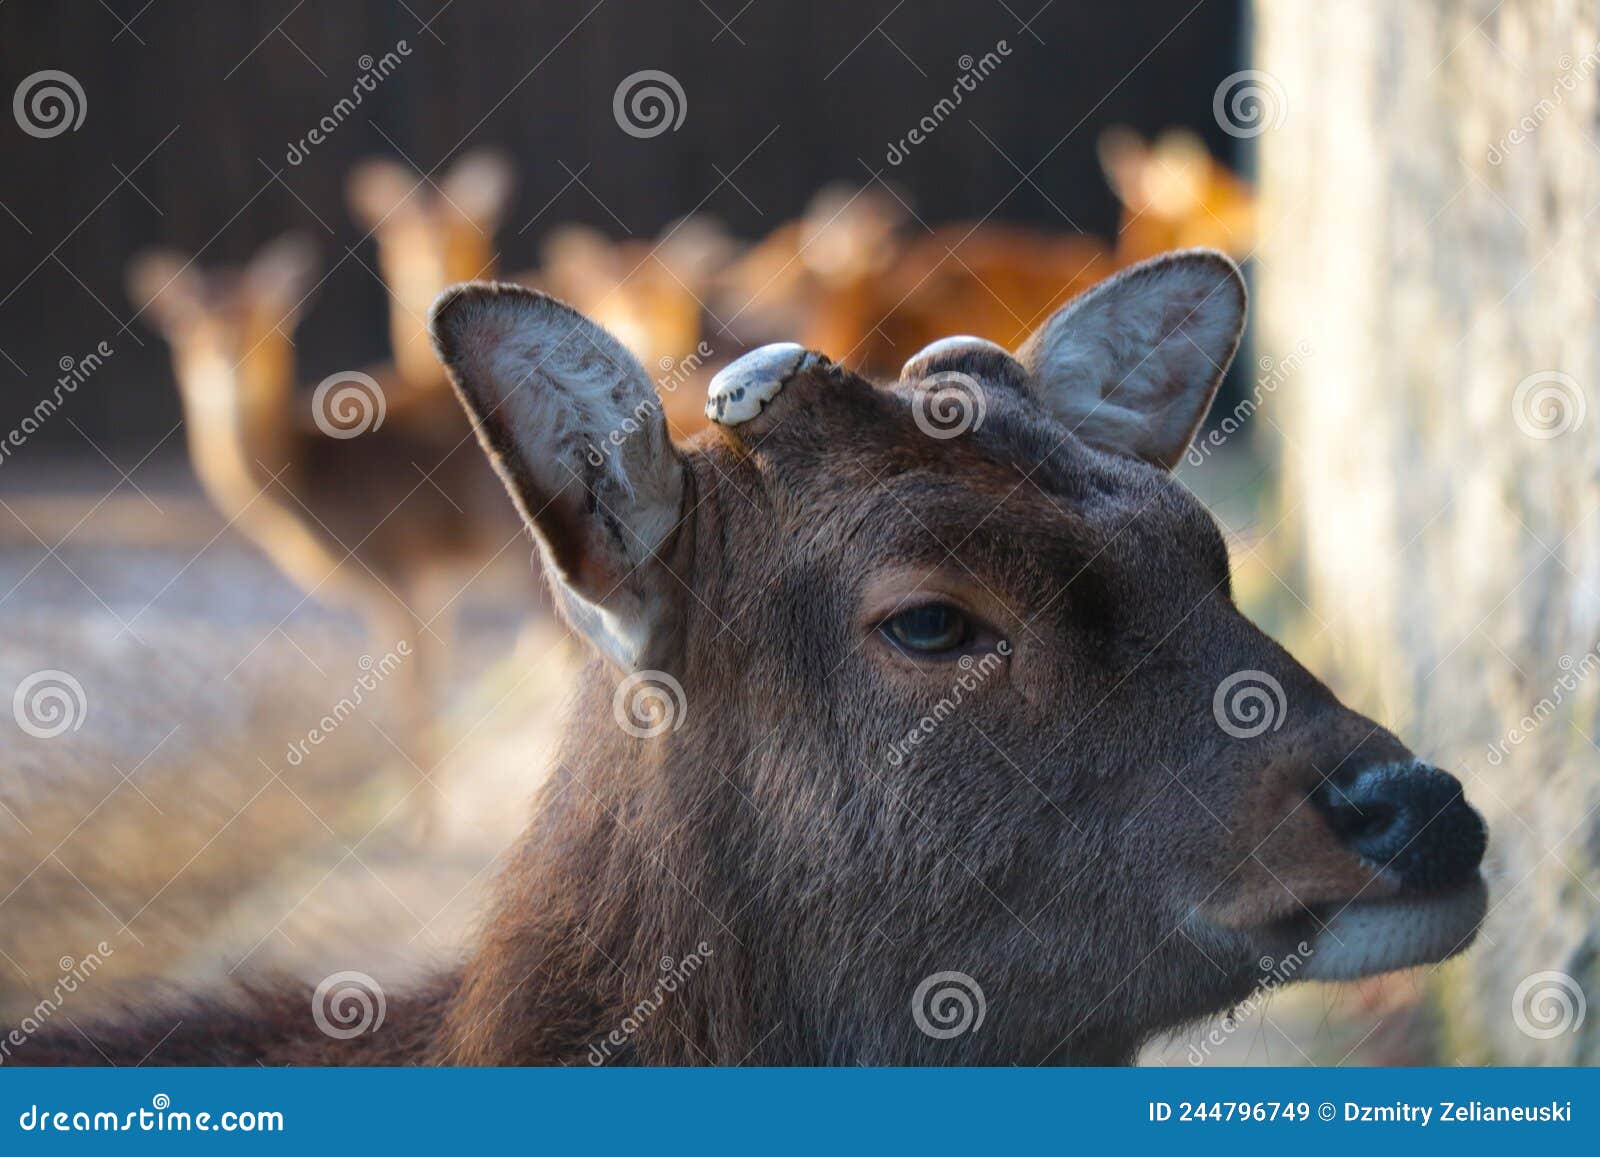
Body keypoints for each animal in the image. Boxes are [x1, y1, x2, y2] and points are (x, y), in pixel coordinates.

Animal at [125, 235, 519, 808]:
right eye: (185, 321)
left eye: (262, 311)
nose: (225, 349)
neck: (312, 478)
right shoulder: (432, 588)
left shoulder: (396, 578)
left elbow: (412, 706)